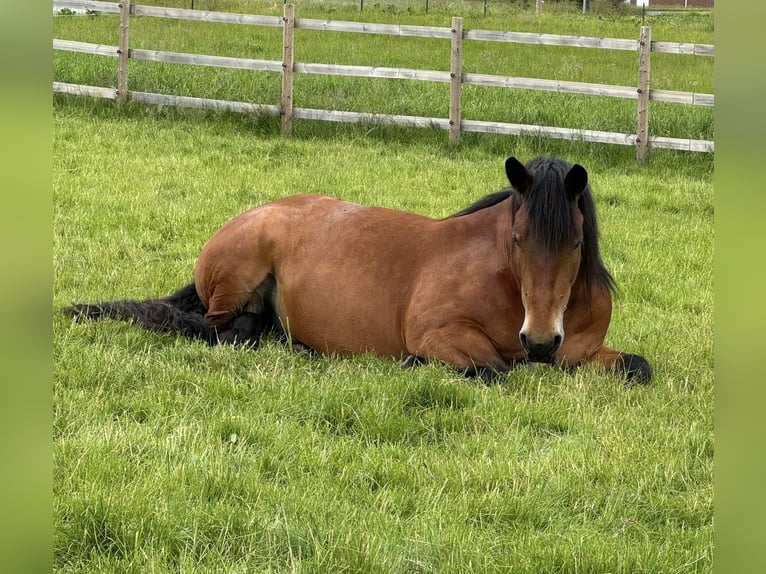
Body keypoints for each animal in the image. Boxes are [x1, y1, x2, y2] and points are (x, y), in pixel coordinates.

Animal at [63, 155, 651, 383]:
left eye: (575, 242)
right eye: (516, 239)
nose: (541, 341)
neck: (505, 286)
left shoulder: (583, 353)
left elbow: (639, 367)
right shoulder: (441, 334)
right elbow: (494, 370)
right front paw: (413, 363)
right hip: (234, 284)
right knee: (216, 329)